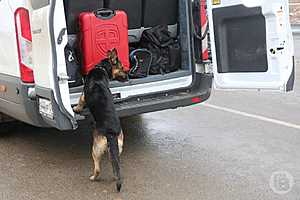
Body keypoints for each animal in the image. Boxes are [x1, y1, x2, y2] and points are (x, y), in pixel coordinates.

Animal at [74, 48, 127, 192]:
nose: (128, 76)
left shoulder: (83, 96)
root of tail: (111, 133)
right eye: (122, 68)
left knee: (98, 169)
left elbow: (79, 102)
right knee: (115, 164)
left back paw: (93, 177)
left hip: (95, 149)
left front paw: (76, 109)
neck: (102, 68)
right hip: (118, 148)